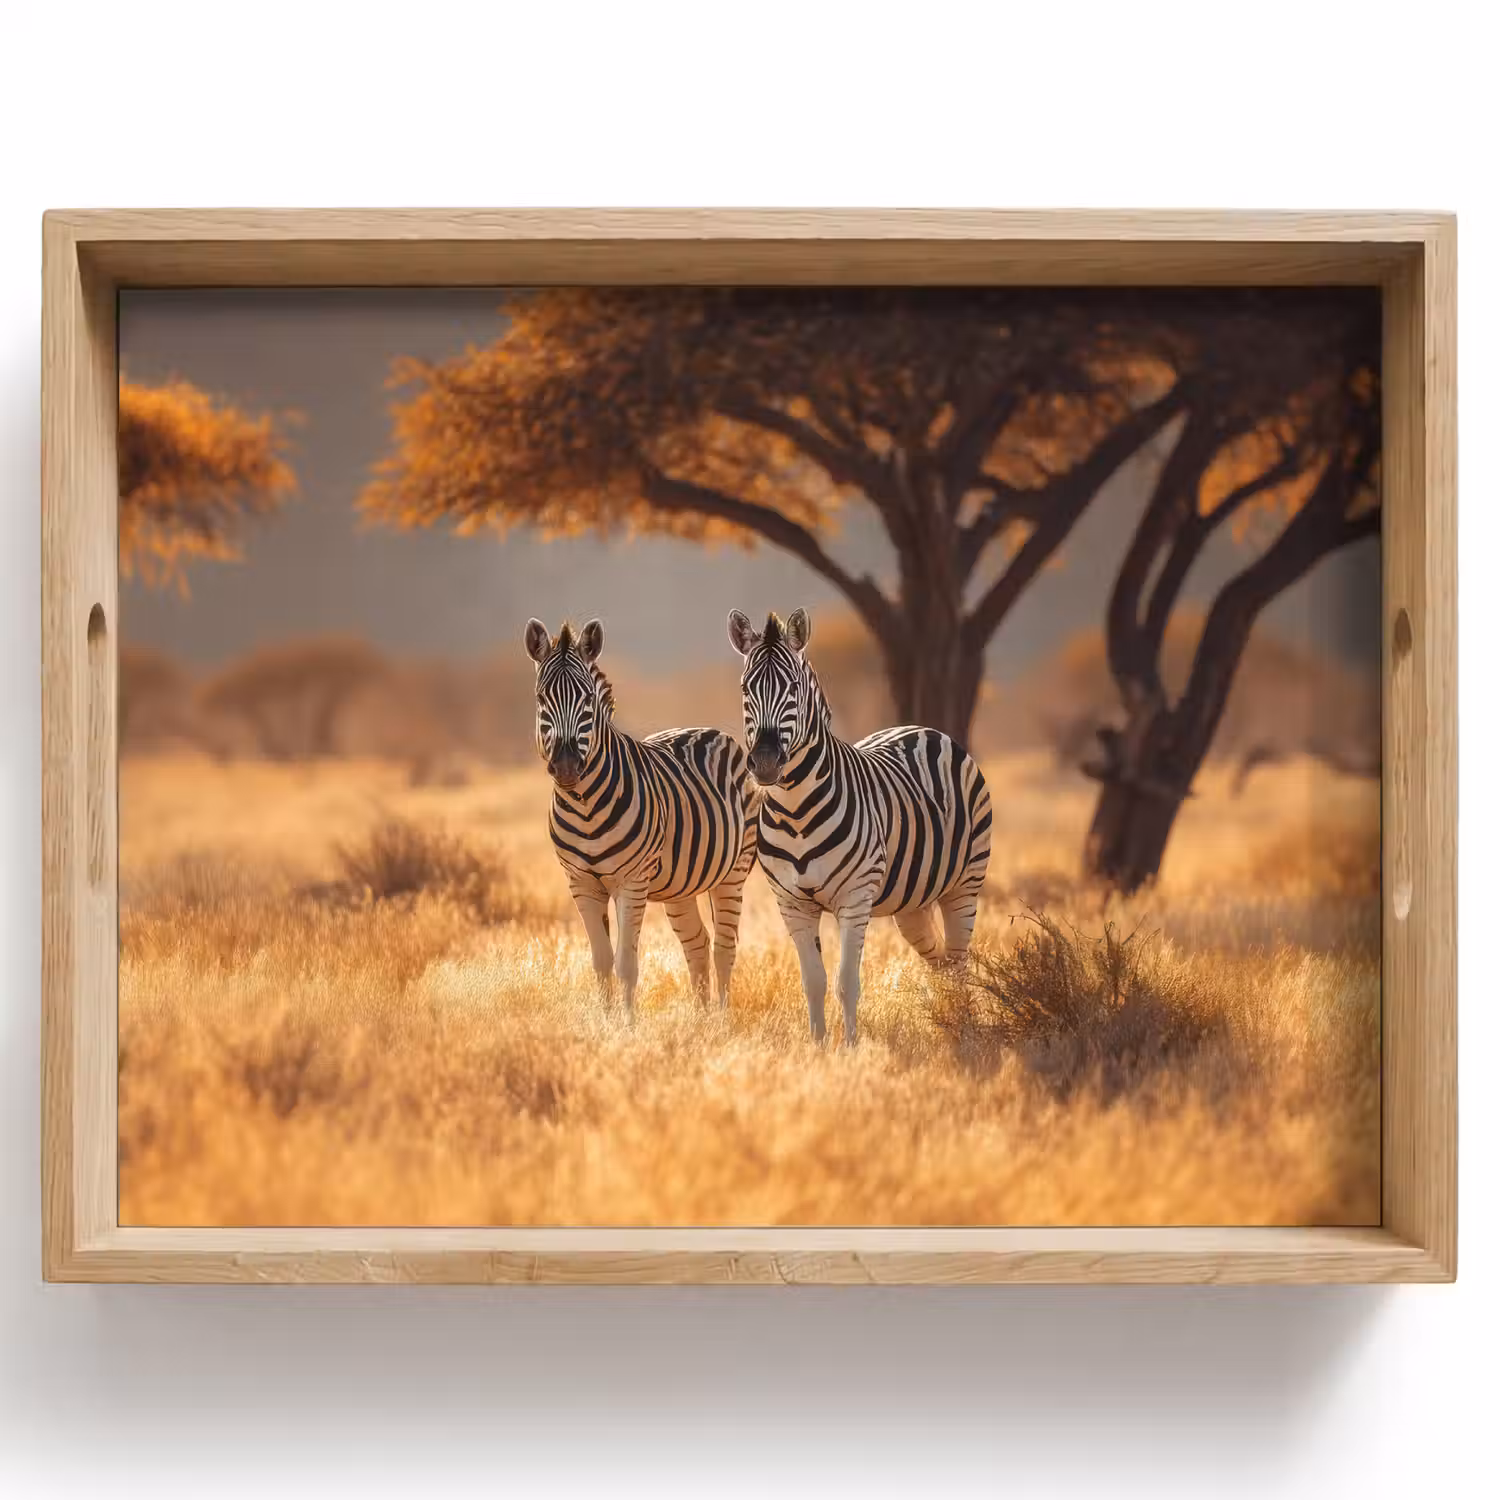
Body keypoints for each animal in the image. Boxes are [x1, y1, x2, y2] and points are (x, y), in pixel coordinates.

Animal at [526, 617, 758, 1017]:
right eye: (542, 698)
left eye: (587, 700)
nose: (568, 766)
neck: (585, 807)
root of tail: (709, 730)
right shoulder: (580, 883)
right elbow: (601, 961)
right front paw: (605, 1022)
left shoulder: (631, 882)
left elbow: (625, 964)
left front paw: (628, 1024)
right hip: (681, 884)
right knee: (697, 943)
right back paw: (700, 1020)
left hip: (734, 870)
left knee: (724, 948)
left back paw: (722, 1021)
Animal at [727, 607, 992, 1045]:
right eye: (746, 689)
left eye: (793, 688)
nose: (764, 762)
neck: (796, 811)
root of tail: (921, 728)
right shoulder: (792, 903)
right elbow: (813, 981)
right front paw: (818, 1047)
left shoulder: (854, 897)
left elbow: (846, 982)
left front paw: (851, 1048)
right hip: (912, 902)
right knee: (938, 960)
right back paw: (947, 1021)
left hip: (965, 884)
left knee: (957, 963)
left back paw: (965, 1030)